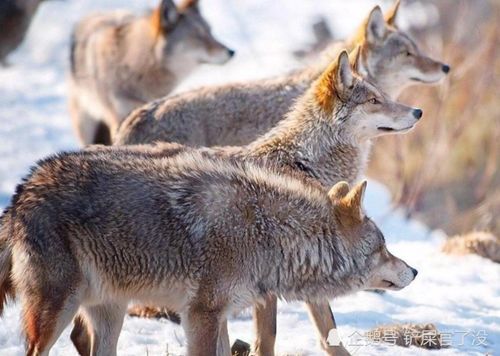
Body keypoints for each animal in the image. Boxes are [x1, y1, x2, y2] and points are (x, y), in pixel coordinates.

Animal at [0, 146, 416, 354]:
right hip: (58, 310)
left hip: (110, 312)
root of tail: (23, 187)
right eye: (383, 247)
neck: (268, 233)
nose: (414, 270)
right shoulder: (200, 315)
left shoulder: (219, 316)